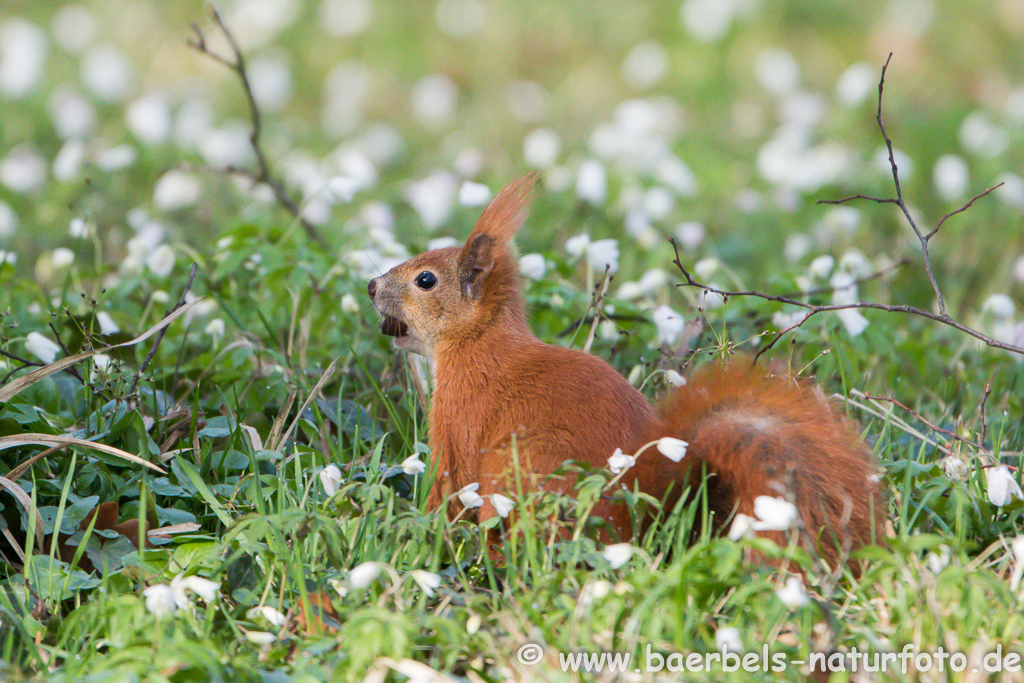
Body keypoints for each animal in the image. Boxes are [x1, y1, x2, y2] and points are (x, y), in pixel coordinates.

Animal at [370, 174, 888, 565]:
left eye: (425, 280)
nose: (372, 285)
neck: (478, 343)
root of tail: (645, 507)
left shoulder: (458, 418)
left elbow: (449, 485)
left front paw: (420, 532)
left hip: (521, 471)